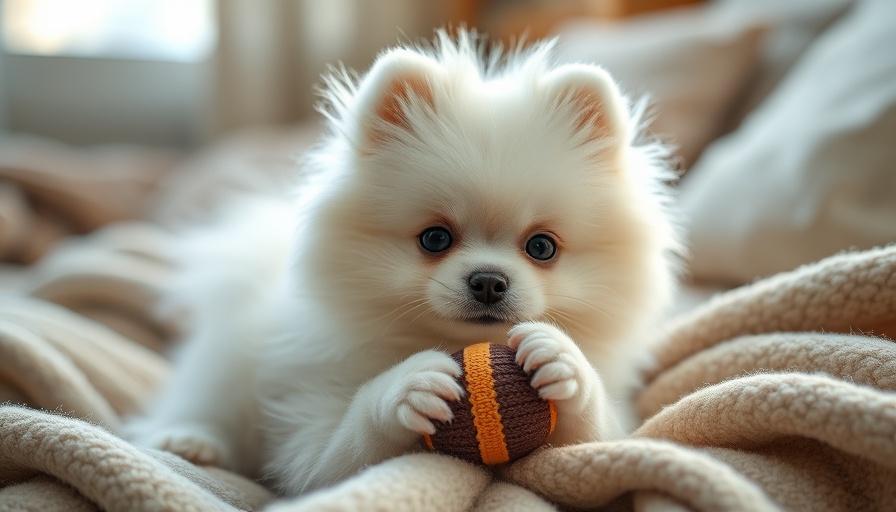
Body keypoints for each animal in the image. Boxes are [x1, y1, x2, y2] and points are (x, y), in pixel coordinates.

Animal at [126, 30, 684, 494]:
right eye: (435, 238)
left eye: (542, 247)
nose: (488, 281)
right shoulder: (306, 412)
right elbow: (335, 455)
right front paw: (404, 389)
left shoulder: (602, 435)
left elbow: (595, 432)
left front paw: (562, 360)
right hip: (227, 359)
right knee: (204, 398)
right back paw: (189, 438)